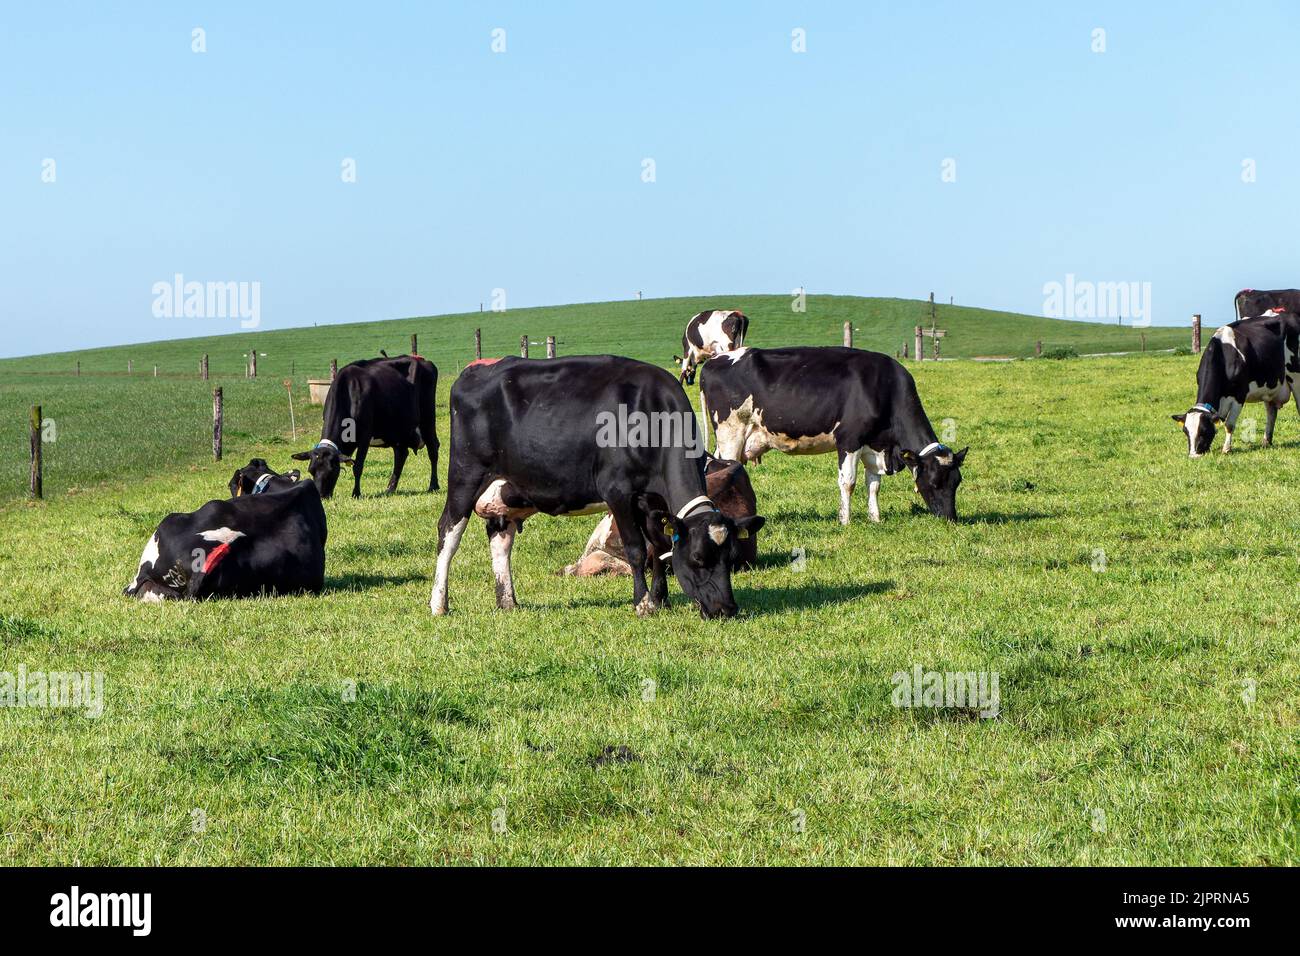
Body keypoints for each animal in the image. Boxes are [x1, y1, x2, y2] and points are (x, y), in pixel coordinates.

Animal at [291, 354, 439, 498]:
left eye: (332, 471)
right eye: (311, 470)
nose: (321, 496)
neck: (348, 392)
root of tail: (423, 360)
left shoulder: (365, 435)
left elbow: (358, 466)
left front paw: (356, 493)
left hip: (427, 417)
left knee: (433, 448)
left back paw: (433, 486)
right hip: (397, 429)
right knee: (401, 454)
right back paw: (390, 489)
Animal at [699, 346, 967, 524]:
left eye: (956, 482)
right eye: (934, 482)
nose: (950, 518)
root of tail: (713, 361)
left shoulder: (874, 445)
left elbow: (873, 484)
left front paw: (875, 518)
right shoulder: (849, 440)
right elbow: (848, 482)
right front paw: (845, 521)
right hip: (731, 433)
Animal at [1172, 312, 1300, 456]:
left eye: (1204, 430)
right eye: (1185, 431)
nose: (1194, 455)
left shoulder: (1239, 395)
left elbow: (1229, 425)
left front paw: (1226, 449)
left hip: (1296, 377)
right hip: (1271, 387)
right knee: (1271, 413)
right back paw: (1266, 442)